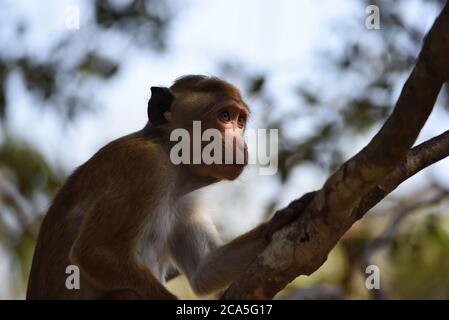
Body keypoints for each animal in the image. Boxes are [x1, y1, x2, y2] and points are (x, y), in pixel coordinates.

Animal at [26, 75, 314, 300]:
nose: (239, 144)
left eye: (240, 121)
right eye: (224, 116)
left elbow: (205, 269)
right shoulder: (143, 168)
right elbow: (92, 252)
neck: (171, 161)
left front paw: (280, 220)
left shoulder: (186, 199)